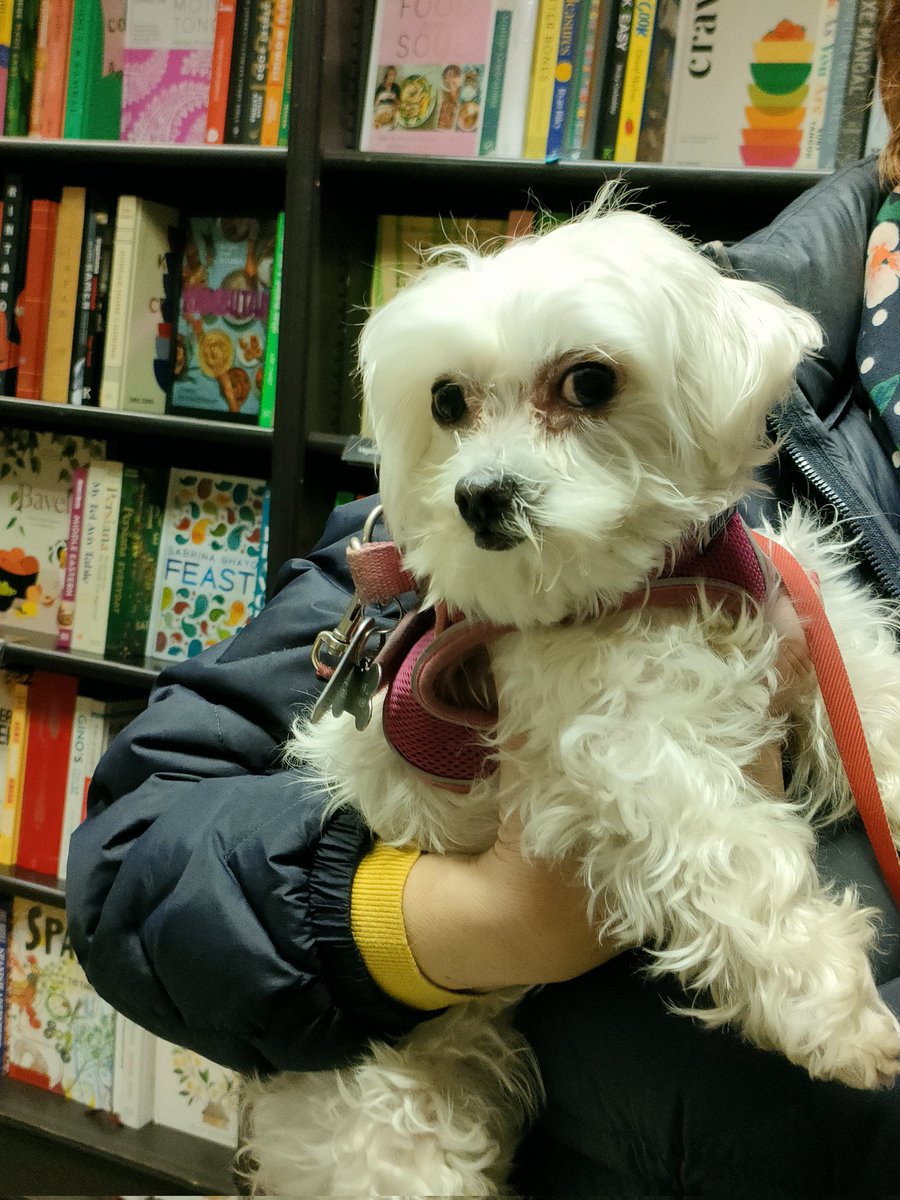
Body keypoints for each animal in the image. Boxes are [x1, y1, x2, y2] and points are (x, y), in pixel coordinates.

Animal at [240, 192, 900, 1195]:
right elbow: (729, 845)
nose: (480, 496)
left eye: (588, 382)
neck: (643, 588)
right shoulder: (610, 744)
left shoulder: (810, 626)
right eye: (447, 401)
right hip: (389, 1131)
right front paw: (832, 1007)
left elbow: (878, 712)